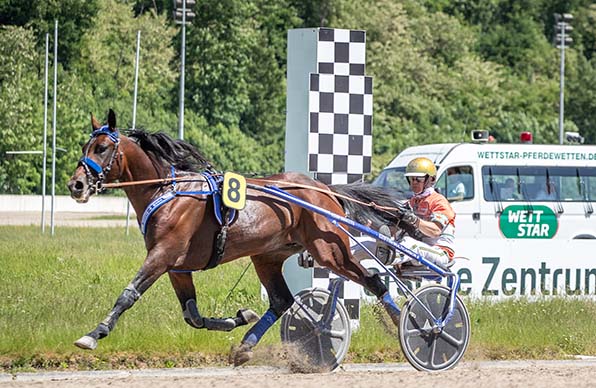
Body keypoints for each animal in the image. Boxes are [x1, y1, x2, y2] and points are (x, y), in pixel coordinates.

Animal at [67, 110, 402, 366]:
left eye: (101, 148)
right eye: (85, 146)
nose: (76, 185)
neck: (168, 191)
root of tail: (323, 189)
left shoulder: (162, 255)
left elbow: (128, 294)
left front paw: (94, 334)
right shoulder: (178, 267)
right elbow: (193, 316)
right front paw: (239, 316)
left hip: (329, 250)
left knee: (374, 281)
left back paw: (406, 324)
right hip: (268, 256)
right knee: (281, 301)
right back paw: (244, 347)